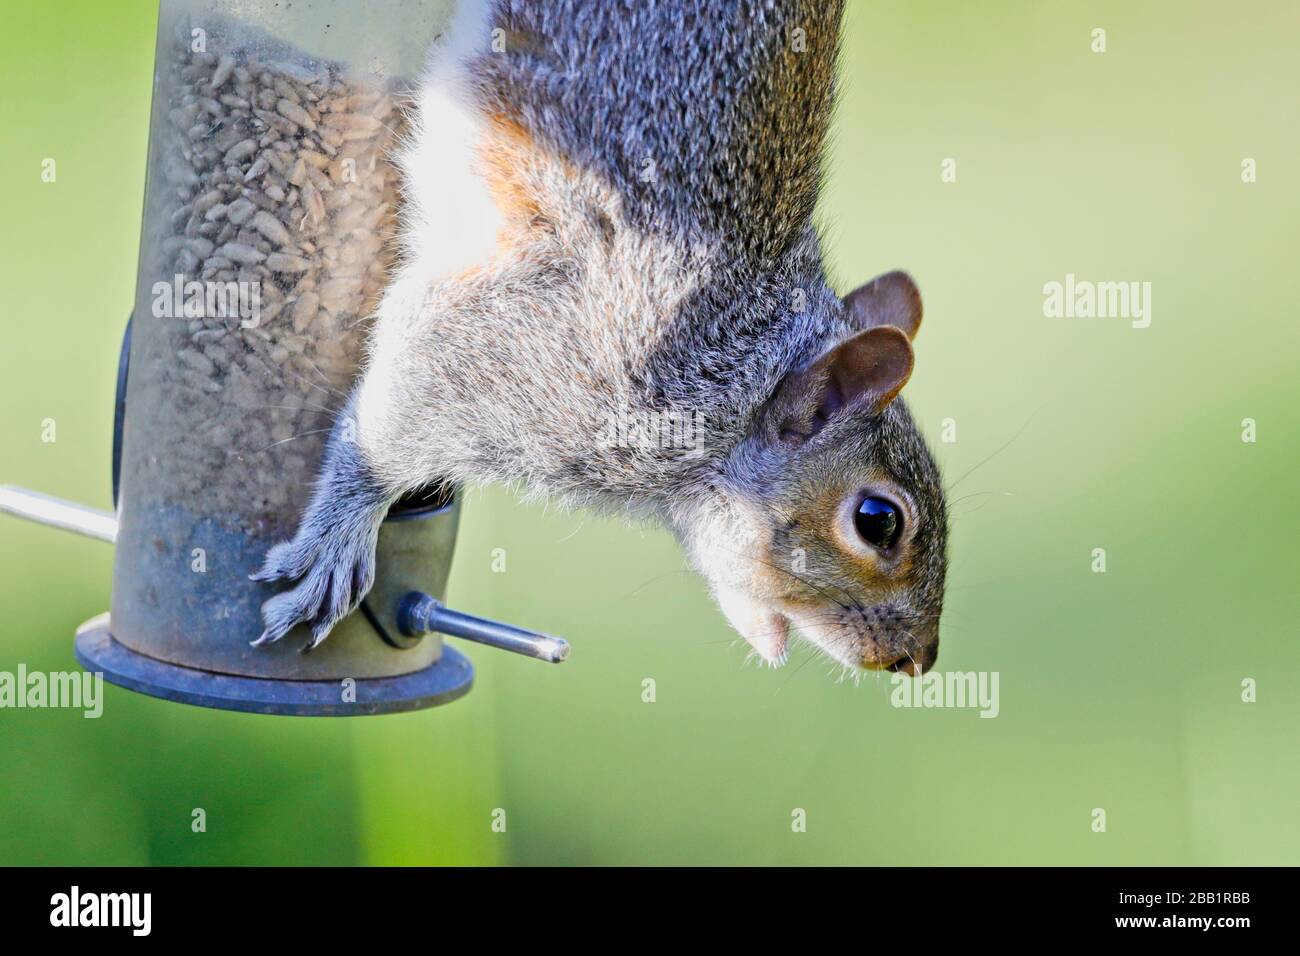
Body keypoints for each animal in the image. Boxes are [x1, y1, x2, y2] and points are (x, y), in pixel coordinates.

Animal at [248, 0, 951, 671]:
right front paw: (338, 540)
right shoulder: (540, 347)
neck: (735, 369)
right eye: (879, 521)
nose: (917, 661)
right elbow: (392, 425)